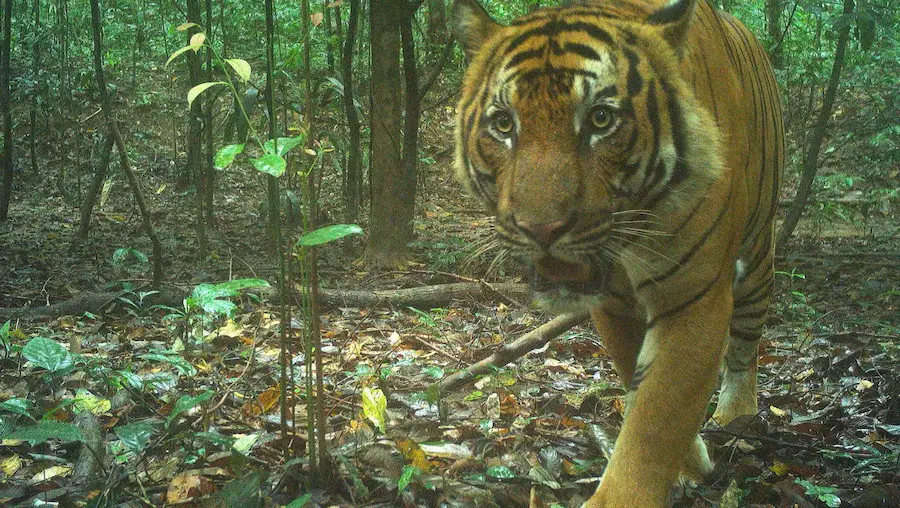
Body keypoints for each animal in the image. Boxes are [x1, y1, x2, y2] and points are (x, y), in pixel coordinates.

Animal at [450, 0, 784, 505]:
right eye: (503, 124)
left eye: (600, 120)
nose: (541, 228)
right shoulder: (613, 304)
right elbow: (637, 378)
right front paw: (689, 461)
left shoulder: (695, 296)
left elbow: (659, 414)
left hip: (759, 253)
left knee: (747, 340)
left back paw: (736, 413)